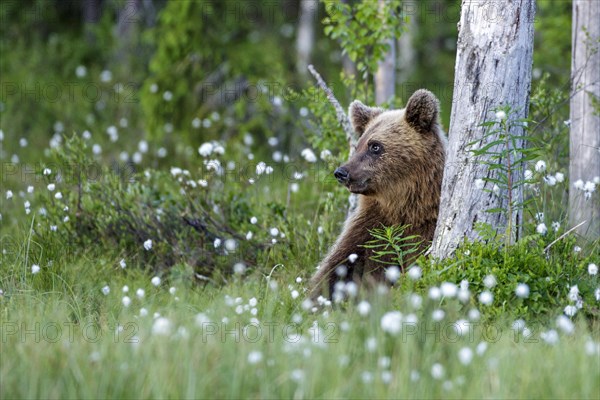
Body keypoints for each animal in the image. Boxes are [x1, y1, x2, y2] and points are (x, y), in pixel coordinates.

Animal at [310, 90, 446, 296]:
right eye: (358, 145)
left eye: (375, 146)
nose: (341, 172)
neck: (401, 204)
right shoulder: (370, 225)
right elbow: (338, 266)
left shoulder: (425, 228)